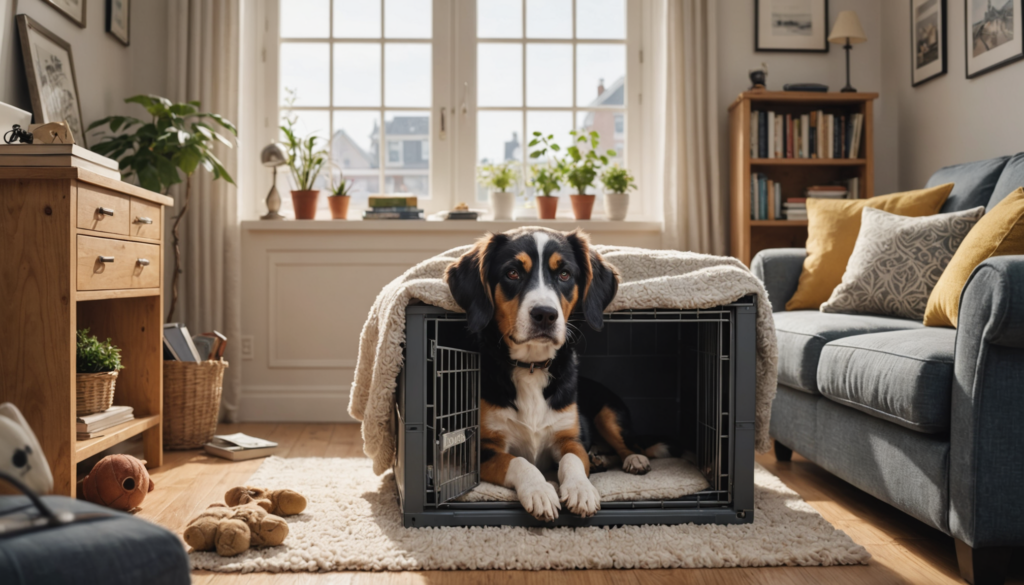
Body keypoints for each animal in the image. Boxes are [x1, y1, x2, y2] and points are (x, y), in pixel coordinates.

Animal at [444, 226, 667, 520]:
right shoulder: (483, 448)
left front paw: (581, 490)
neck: (531, 368)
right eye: (512, 273)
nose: (545, 314)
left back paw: (633, 459)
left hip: (608, 413)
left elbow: (572, 460)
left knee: (630, 445)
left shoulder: (569, 438)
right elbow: (519, 462)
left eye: (564, 274)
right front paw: (540, 491)